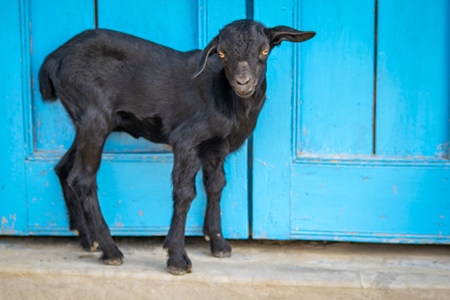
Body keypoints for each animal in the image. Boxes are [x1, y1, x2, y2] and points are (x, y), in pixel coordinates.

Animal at [39, 19, 316, 276]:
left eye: (264, 50)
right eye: (222, 54)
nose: (243, 82)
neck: (229, 100)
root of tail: (53, 60)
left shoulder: (216, 147)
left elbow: (216, 186)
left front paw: (218, 243)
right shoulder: (186, 140)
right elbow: (185, 193)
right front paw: (177, 258)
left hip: (84, 120)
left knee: (64, 168)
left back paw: (88, 239)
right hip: (93, 114)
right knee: (83, 178)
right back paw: (110, 250)